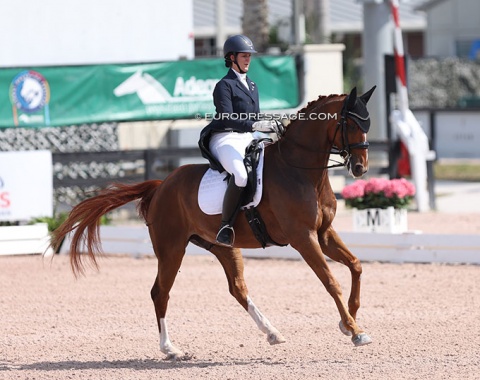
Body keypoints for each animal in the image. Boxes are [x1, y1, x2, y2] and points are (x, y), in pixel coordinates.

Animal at [51, 86, 376, 360]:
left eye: (368, 123)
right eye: (351, 124)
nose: (360, 168)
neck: (299, 170)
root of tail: (161, 185)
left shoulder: (323, 233)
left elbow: (357, 265)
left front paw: (349, 319)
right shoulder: (303, 237)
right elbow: (331, 281)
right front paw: (355, 331)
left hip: (222, 246)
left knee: (237, 288)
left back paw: (272, 333)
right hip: (171, 249)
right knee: (160, 292)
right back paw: (170, 349)